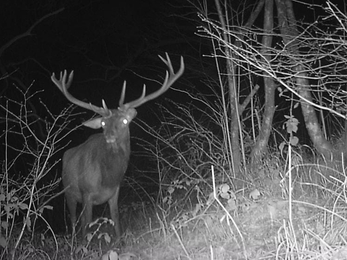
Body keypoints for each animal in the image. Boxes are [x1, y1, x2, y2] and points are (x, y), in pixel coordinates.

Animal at [50, 53, 185, 240]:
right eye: (103, 123)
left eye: (124, 121)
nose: (109, 136)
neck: (108, 178)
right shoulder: (86, 193)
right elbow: (87, 224)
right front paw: (85, 244)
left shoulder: (115, 192)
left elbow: (116, 219)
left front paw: (120, 242)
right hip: (69, 192)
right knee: (74, 219)